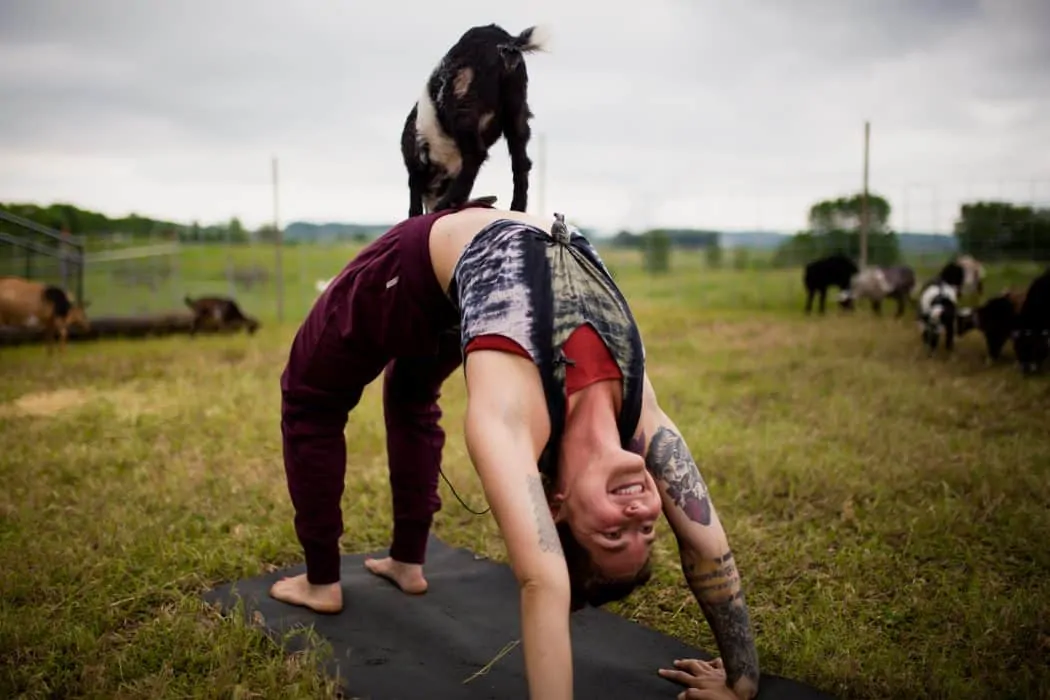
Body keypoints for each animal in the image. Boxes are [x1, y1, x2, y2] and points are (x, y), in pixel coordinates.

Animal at [398, 23, 550, 216]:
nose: (431, 207)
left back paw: (448, 204)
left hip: (462, 101)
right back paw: (516, 208)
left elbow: (414, 190)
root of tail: (505, 41)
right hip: (516, 106)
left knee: (476, 154)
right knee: (521, 162)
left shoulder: (415, 164)